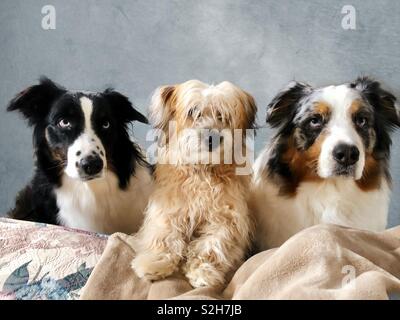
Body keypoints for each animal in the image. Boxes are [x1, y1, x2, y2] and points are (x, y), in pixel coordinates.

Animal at [131, 80, 256, 288]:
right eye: (193, 112)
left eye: (223, 115)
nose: (212, 137)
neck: (203, 171)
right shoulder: (168, 210)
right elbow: (164, 235)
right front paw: (154, 263)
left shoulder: (227, 220)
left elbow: (213, 245)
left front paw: (203, 271)